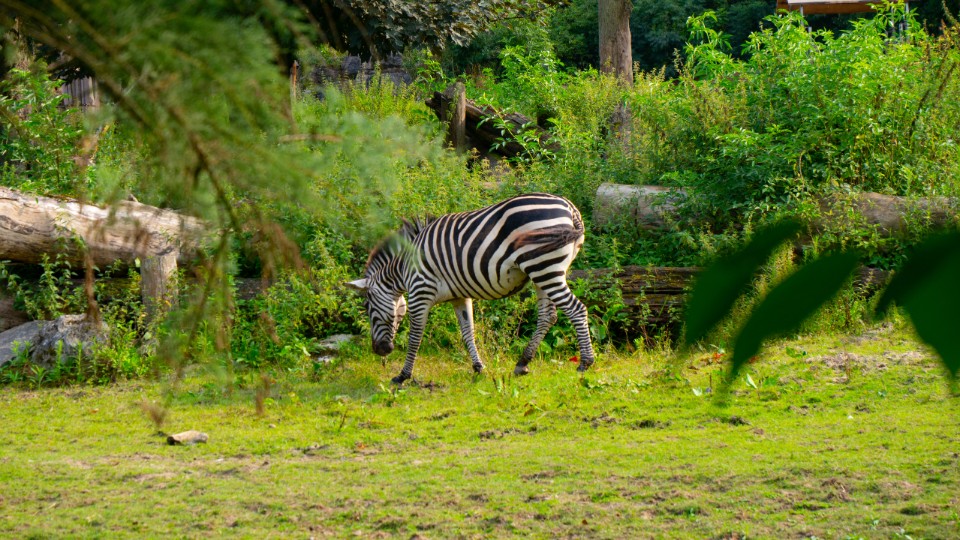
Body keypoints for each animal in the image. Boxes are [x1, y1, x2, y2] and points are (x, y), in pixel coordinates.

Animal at [347, 193, 596, 384]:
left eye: (367, 308)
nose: (379, 351)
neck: (404, 266)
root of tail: (570, 208)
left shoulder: (420, 292)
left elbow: (415, 336)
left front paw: (403, 376)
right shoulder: (460, 296)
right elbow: (468, 331)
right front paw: (478, 368)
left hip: (543, 267)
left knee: (576, 309)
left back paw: (585, 362)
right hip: (544, 272)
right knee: (547, 316)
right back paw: (522, 363)